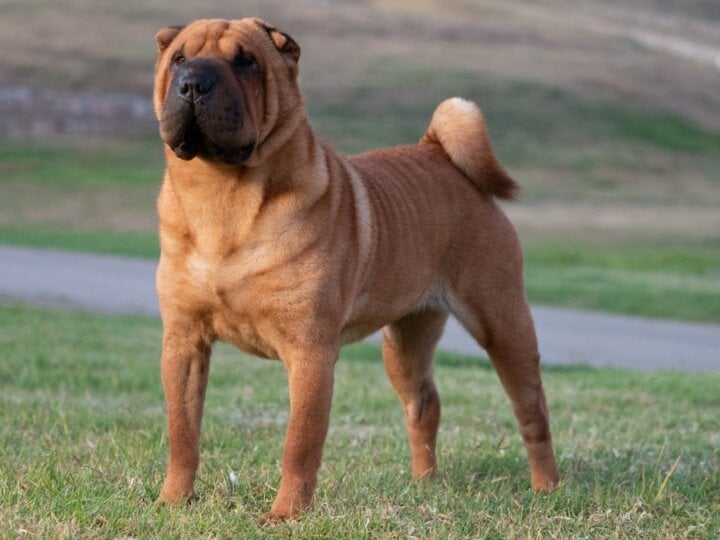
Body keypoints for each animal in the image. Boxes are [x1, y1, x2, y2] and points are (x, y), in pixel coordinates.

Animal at [152, 17, 560, 524]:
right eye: (179, 59)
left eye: (245, 61)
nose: (192, 83)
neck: (221, 195)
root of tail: (440, 154)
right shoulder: (184, 341)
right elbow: (182, 434)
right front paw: (172, 502)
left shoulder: (310, 351)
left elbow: (299, 444)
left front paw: (285, 515)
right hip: (405, 343)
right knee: (424, 404)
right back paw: (423, 485)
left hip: (503, 324)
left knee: (532, 411)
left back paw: (547, 488)